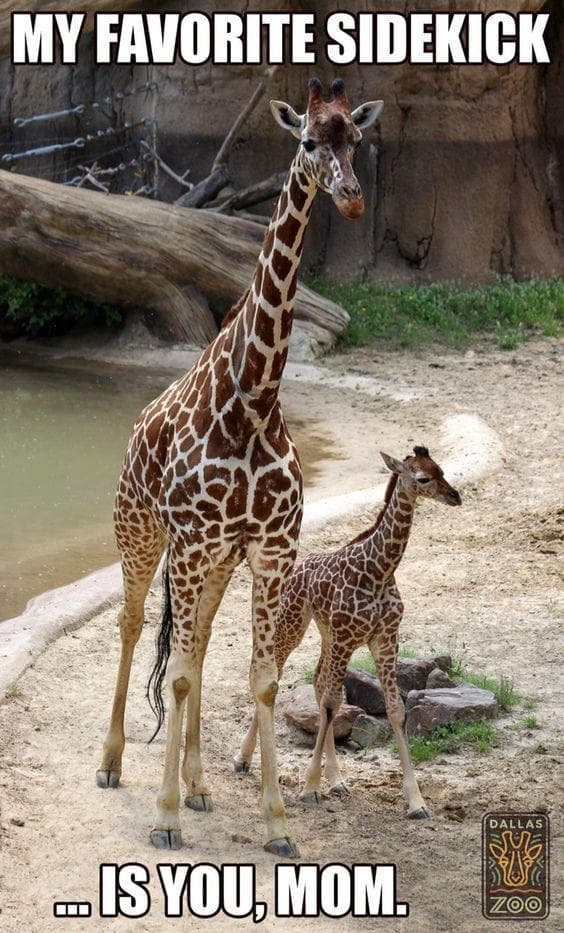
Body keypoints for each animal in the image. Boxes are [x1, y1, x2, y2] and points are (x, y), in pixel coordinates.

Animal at [96, 78, 384, 856]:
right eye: (308, 140)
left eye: (357, 139)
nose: (352, 199)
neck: (254, 399)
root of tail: (132, 430)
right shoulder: (194, 543)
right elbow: (180, 674)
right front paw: (163, 816)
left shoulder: (268, 547)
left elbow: (257, 678)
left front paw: (276, 823)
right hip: (142, 535)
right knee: (135, 625)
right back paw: (113, 763)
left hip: (216, 560)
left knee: (192, 645)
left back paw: (197, 785)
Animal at [235, 446, 461, 819]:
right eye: (423, 477)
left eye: (441, 469)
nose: (455, 495)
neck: (380, 571)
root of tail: (298, 568)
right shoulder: (348, 636)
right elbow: (331, 704)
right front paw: (310, 787)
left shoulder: (384, 638)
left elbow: (394, 709)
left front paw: (416, 802)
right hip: (294, 625)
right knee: (276, 675)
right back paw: (242, 760)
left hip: (328, 634)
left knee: (316, 679)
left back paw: (337, 780)